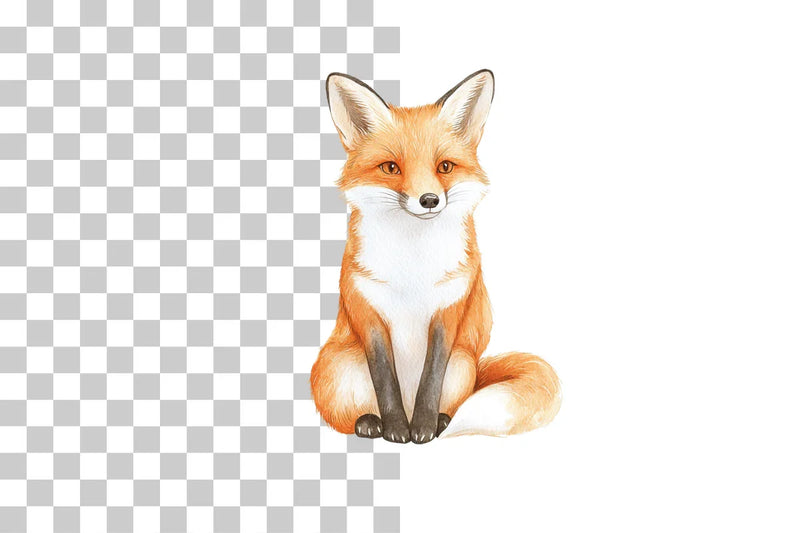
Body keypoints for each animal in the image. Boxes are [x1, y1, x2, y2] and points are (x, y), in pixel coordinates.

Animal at [310, 69, 561, 443]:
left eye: (444, 166)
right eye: (391, 168)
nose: (429, 200)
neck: (413, 265)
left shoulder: (449, 311)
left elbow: (431, 378)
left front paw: (424, 427)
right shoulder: (368, 311)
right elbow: (384, 380)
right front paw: (397, 429)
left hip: (462, 364)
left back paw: (441, 421)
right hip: (338, 366)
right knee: (346, 416)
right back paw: (369, 423)